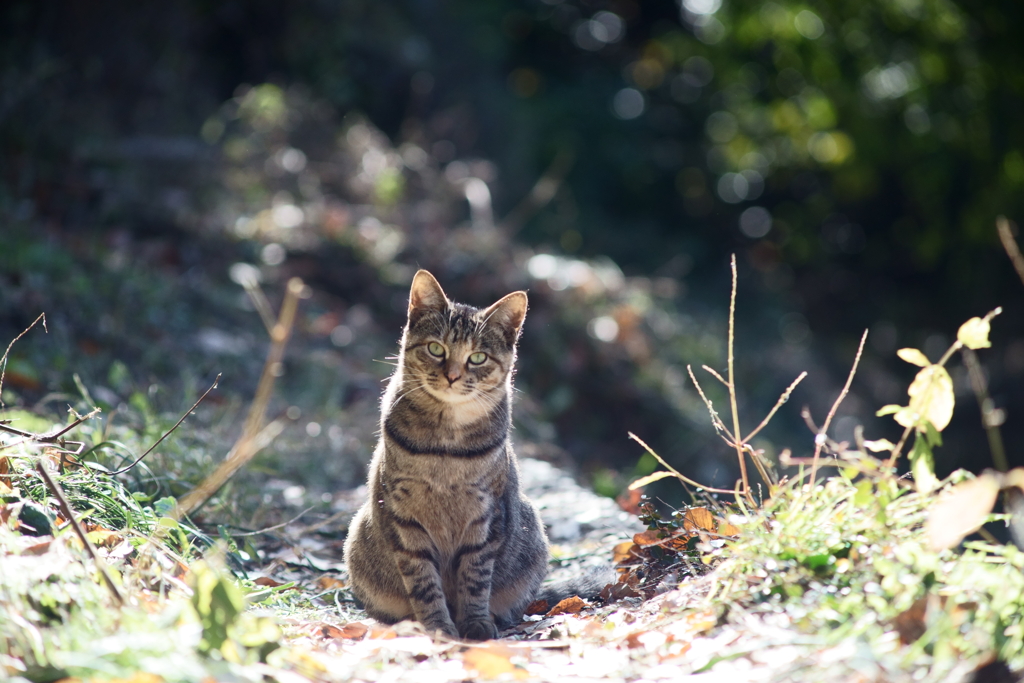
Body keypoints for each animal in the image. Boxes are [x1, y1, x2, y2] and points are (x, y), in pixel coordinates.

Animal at [344, 270, 589, 643]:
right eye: (436, 349)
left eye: (478, 358)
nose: (452, 375)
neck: (445, 449)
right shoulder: (404, 515)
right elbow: (423, 581)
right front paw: (437, 626)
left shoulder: (486, 515)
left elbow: (475, 578)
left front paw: (475, 623)